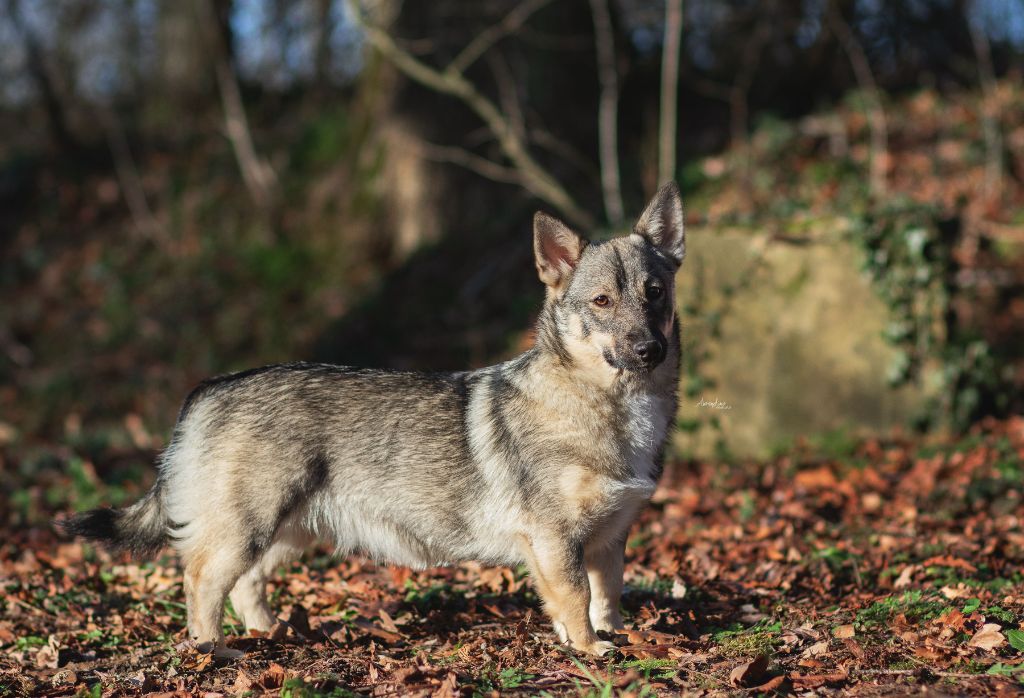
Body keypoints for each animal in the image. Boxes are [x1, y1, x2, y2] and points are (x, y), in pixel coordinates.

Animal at [64, 181, 688, 659]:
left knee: (246, 586)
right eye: (602, 302)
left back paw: (270, 635)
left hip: (286, 532)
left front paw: (615, 636)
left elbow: (608, 597)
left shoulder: (608, 541)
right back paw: (212, 651)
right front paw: (589, 649)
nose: (649, 350)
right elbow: (577, 600)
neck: (605, 404)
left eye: (655, 293)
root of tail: (210, 388)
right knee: (200, 582)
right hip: (249, 528)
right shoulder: (557, 542)